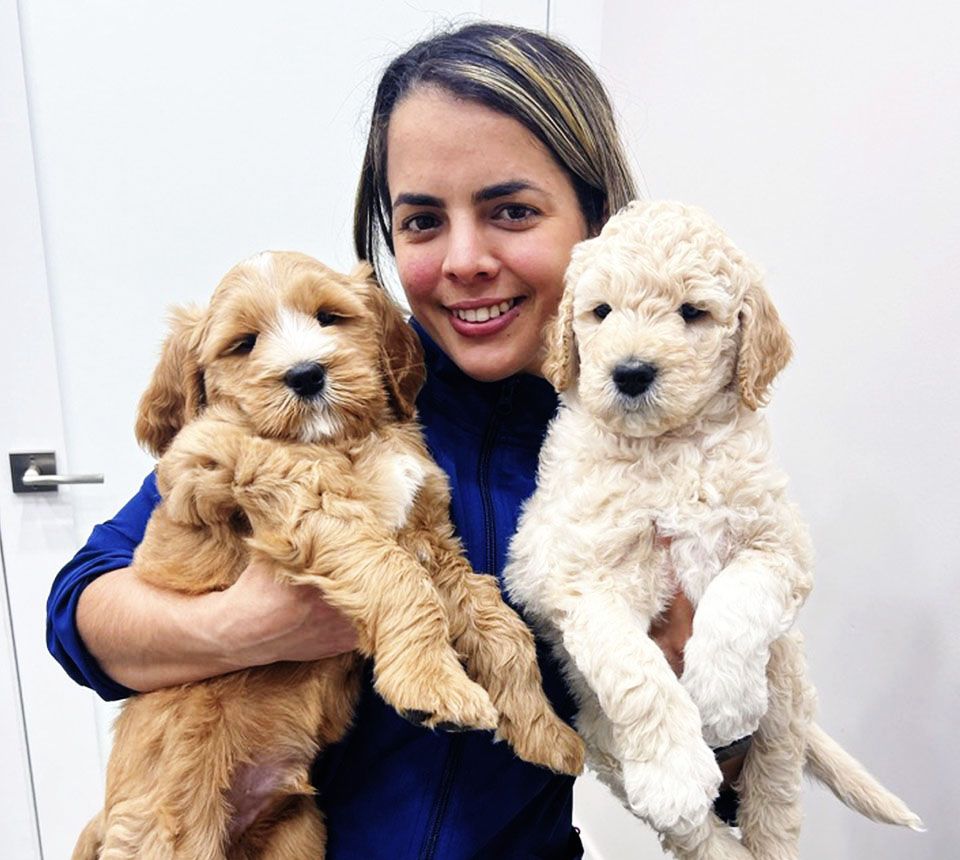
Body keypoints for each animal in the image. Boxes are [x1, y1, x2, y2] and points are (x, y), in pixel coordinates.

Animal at [75, 254, 580, 860]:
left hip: (297, 833)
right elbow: (399, 578)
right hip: (169, 831)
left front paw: (547, 734)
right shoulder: (302, 501)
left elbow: (500, 626)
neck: (343, 440)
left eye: (329, 317)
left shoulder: (433, 538)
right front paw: (434, 687)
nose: (306, 375)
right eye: (244, 344)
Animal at [506, 203, 920, 860]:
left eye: (692, 313)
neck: (666, 449)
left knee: (774, 802)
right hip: (605, 743)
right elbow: (633, 668)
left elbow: (737, 599)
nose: (631, 373)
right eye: (602, 312)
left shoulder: (778, 543)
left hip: (784, 701)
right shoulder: (583, 578)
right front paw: (674, 770)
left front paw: (722, 697)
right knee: (698, 834)